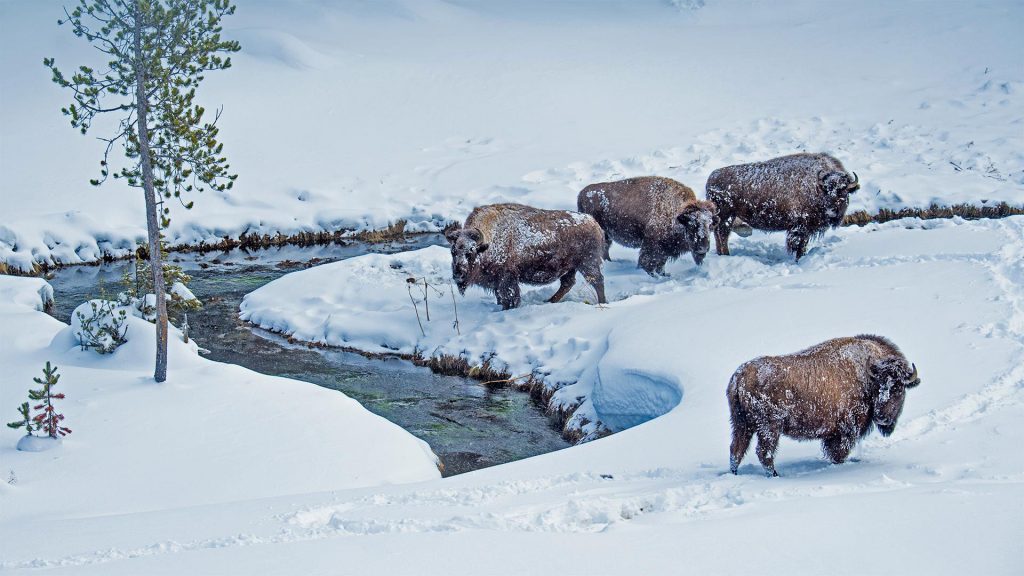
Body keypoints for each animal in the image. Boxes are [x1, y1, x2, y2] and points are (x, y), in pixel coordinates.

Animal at [444, 201, 602, 309]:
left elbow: (510, 297)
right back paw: (549, 301)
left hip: (587, 264)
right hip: (570, 268)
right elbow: (500, 297)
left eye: (470, 252)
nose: (458, 274)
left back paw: (602, 302)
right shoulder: (497, 283)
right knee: (567, 283)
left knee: (597, 281)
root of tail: (593, 222)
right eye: (453, 251)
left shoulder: (507, 279)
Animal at [577, 176, 720, 274]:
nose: (703, 248)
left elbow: (660, 264)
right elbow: (648, 262)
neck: (676, 214)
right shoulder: (652, 247)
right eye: (691, 224)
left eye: (710, 225)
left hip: (607, 236)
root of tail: (582, 193)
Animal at [704, 152, 856, 260]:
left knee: (719, 235)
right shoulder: (800, 227)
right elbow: (799, 245)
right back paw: (726, 254)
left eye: (844, 190)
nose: (831, 210)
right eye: (826, 189)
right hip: (727, 216)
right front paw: (798, 259)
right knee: (722, 235)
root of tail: (712, 177)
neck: (816, 187)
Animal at [724, 332, 925, 475]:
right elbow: (838, 453)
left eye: (898, 388)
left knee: (736, 449)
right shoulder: (845, 431)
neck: (868, 376)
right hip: (769, 428)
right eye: (879, 387)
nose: (882, 417)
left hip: (741, 424)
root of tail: (739, 377)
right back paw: (775, 475)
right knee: (763, 452)